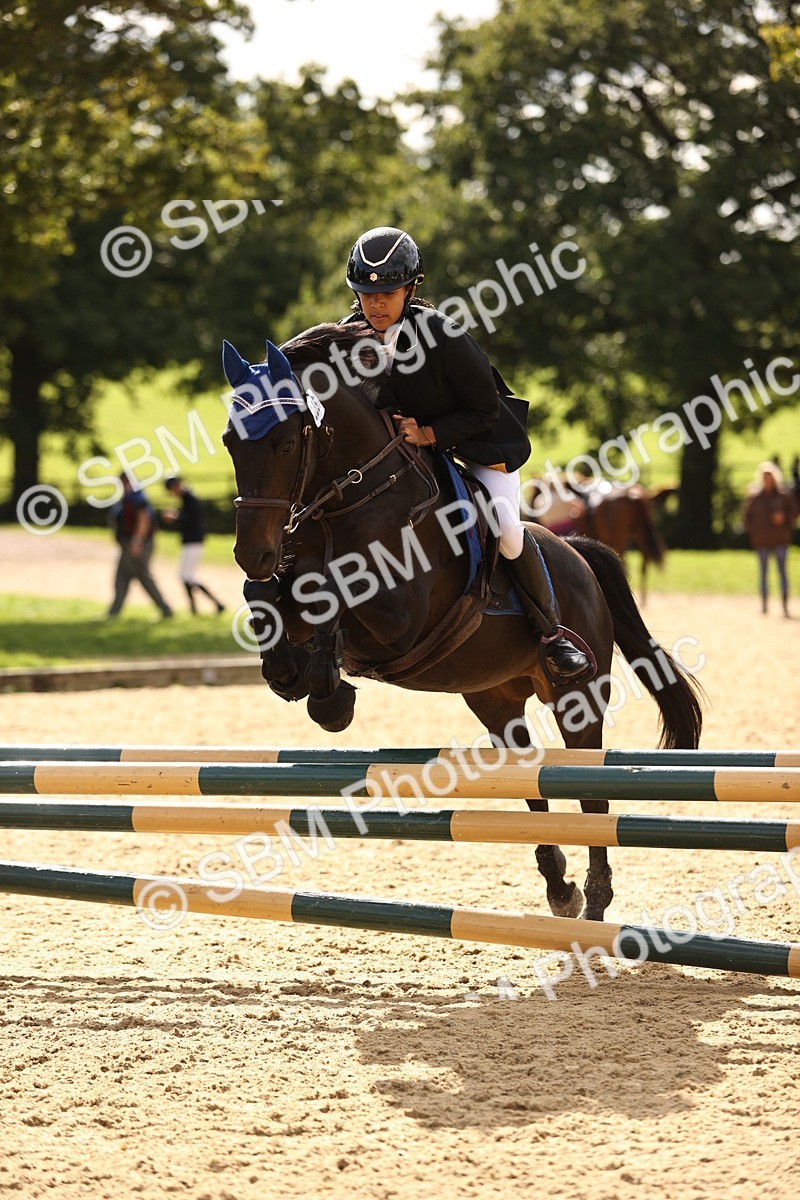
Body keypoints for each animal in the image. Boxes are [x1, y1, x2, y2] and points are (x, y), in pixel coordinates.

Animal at [525, 477, 668, 600]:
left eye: (535, 494)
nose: (531, 515)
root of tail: (632, 495)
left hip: (623, 537)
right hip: (639, 534)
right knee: (644, 562)